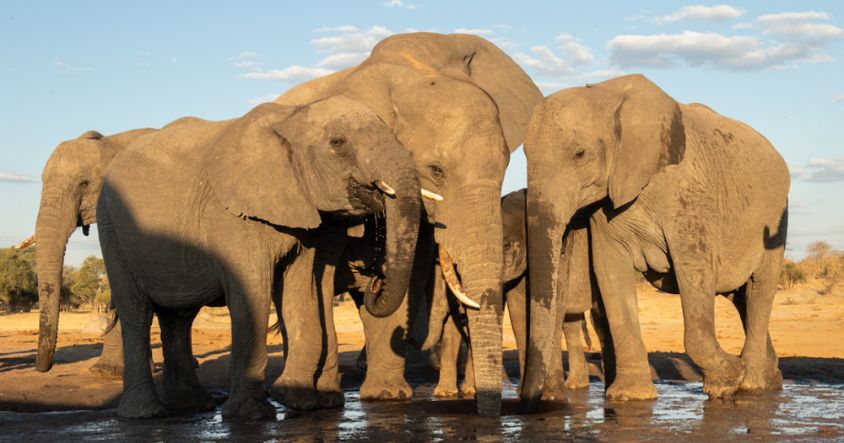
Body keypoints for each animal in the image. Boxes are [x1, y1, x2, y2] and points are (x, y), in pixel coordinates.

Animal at [96, 96, 422, 419]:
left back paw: (191, 406)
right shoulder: (231, 216)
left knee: (178, 317)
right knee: (136, 312)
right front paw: (252, 414)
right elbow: (251, 293)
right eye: (338, 142)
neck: (290, 119)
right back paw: (144, 414)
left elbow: (300, 292)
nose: (374, 283)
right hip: (110, 228)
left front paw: (297, 399)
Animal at [274, 32, 542, 416]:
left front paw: (386, 396)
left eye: (506, 164)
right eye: (435, 170)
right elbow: (321, 270)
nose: (493, 413)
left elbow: (410, 268)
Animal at [520, 74, 789, 411]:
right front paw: (631, 396)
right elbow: (610, 273)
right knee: (741, 297)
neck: (605, 95)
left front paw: (727, 380)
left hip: (775, 216)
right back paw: (770, 380)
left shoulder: (687, 194)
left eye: (579, 154)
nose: (527, 402)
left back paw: (752, 384)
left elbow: (694, 268)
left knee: (760, 289)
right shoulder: (607, 204)